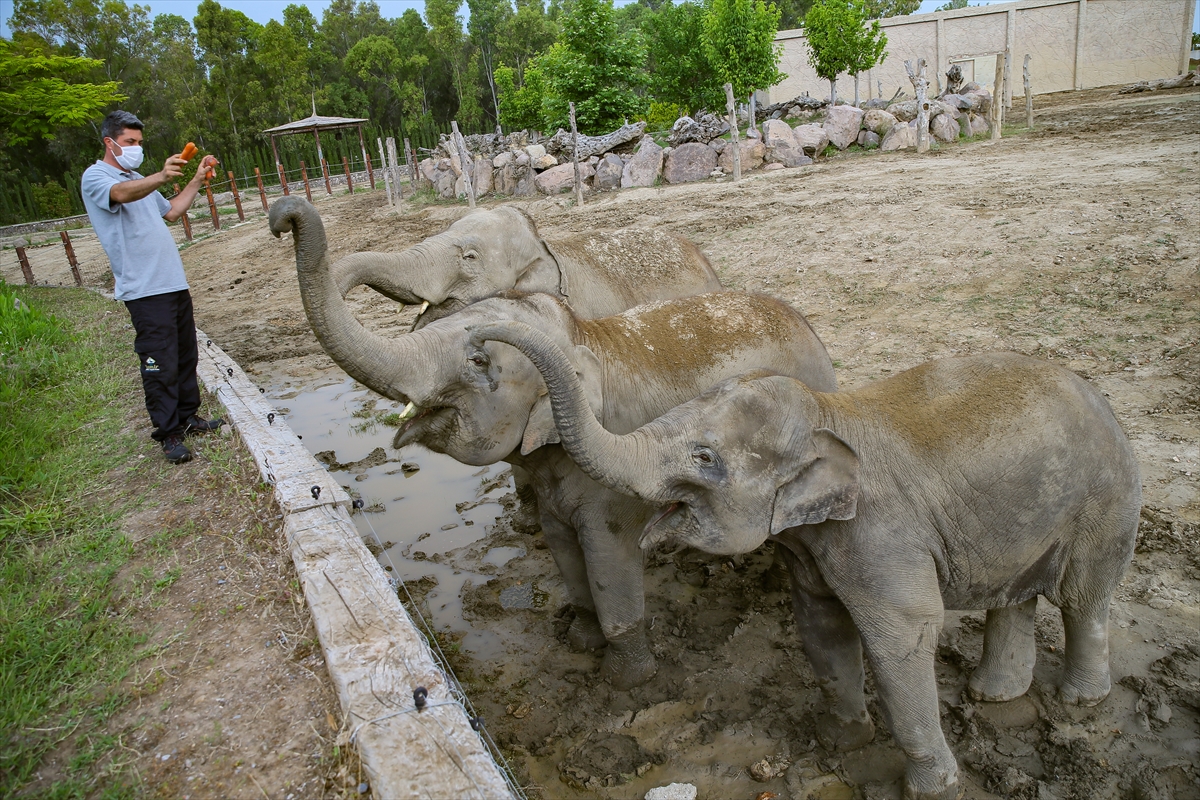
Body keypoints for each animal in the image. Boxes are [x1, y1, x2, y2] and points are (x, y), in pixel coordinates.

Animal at [463, 323, 1137, 800]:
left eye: (705, 458)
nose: (474, 346)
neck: (827, 414)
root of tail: (1098, 393)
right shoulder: (815, 546)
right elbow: (820, 625)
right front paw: (839, 741)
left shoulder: (881, 533)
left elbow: (902, 638)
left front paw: (930, 791)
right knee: (1015, 597)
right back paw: (993, 695)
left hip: (1105, 500)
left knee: (1082, 599)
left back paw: (1078, 702)